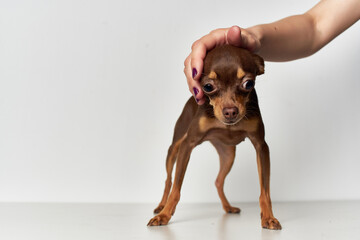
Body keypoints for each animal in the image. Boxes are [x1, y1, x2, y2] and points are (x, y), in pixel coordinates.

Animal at [146, 45, 282, 231]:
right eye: (208, 86)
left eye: (249, 84)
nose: (230, 111)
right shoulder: (187, 144)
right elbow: (176, 188)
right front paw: (164, 215)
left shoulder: (261, 146)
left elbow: (265, 191)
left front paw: (268, 217)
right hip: (174, 148)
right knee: (169, 179)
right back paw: (161, 206)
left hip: (228, 155)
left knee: (218, 181)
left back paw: (228, 207)